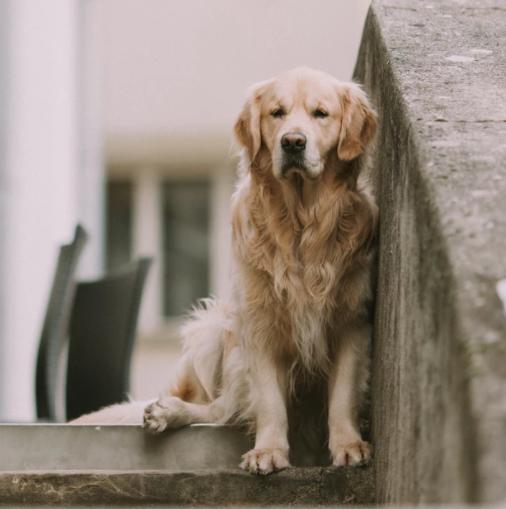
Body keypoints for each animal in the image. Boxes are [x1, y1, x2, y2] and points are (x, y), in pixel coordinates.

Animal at [74, 66, 380, 472]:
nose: (293, 143)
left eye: (321, 114)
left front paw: (348, 444)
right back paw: (167, 411)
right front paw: (268, 451)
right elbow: (269, 400)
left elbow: (343, 394)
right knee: (221, 409)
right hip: (214, 329)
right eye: (277, 113)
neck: (299, 224)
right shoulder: (258, 324)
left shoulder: (351, 320)